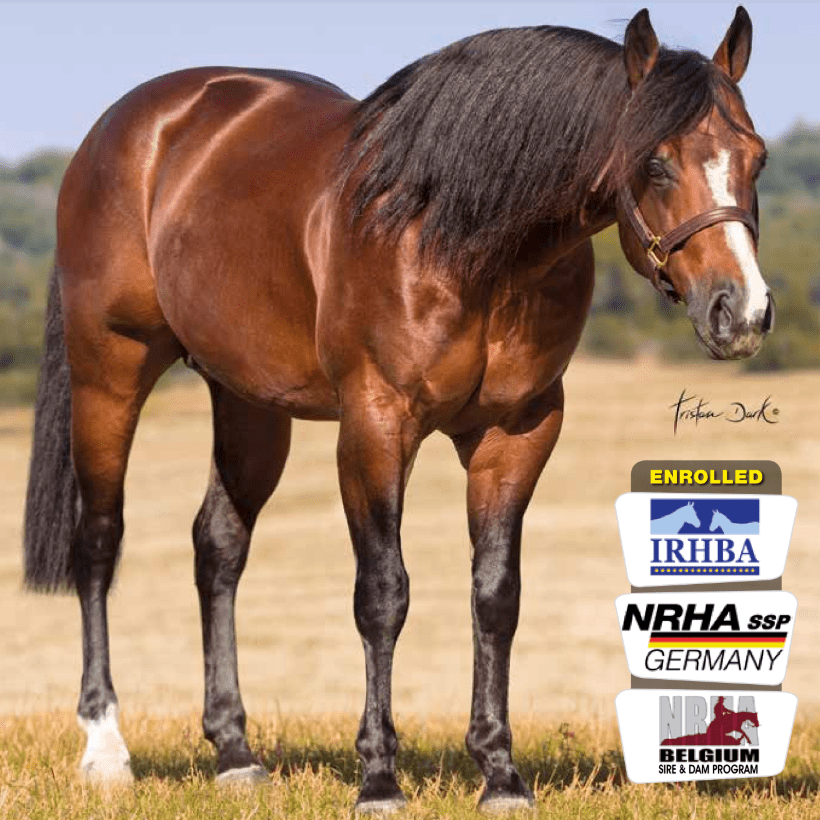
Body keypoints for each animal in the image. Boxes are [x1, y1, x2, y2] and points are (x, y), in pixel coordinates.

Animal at [23, 6, 771, 813]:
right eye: (656, 162)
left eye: (756, 159)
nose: (742, 312)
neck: (462, 239)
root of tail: (129, 128)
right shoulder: (377, 425)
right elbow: (383, 594)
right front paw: (379, 778)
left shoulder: (518, 430)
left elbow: (495, 595)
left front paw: (500, 773)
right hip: (110, 370)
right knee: (98, 543)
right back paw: (105, 748)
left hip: (248, 403)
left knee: (217, 547)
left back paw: (234, 753)